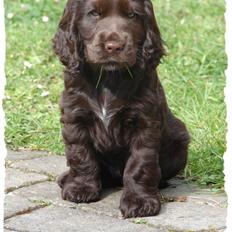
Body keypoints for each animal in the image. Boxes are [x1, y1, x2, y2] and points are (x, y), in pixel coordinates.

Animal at [53, 0, 189, 218]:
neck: (109, 77)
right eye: (94, 14)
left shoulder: (145, 123)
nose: (114, 46)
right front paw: (80, 188)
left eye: (132, 15)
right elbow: (81, 155)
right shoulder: (75, 116)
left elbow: (140, 164)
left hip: (180, 141)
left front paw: (140, 202)